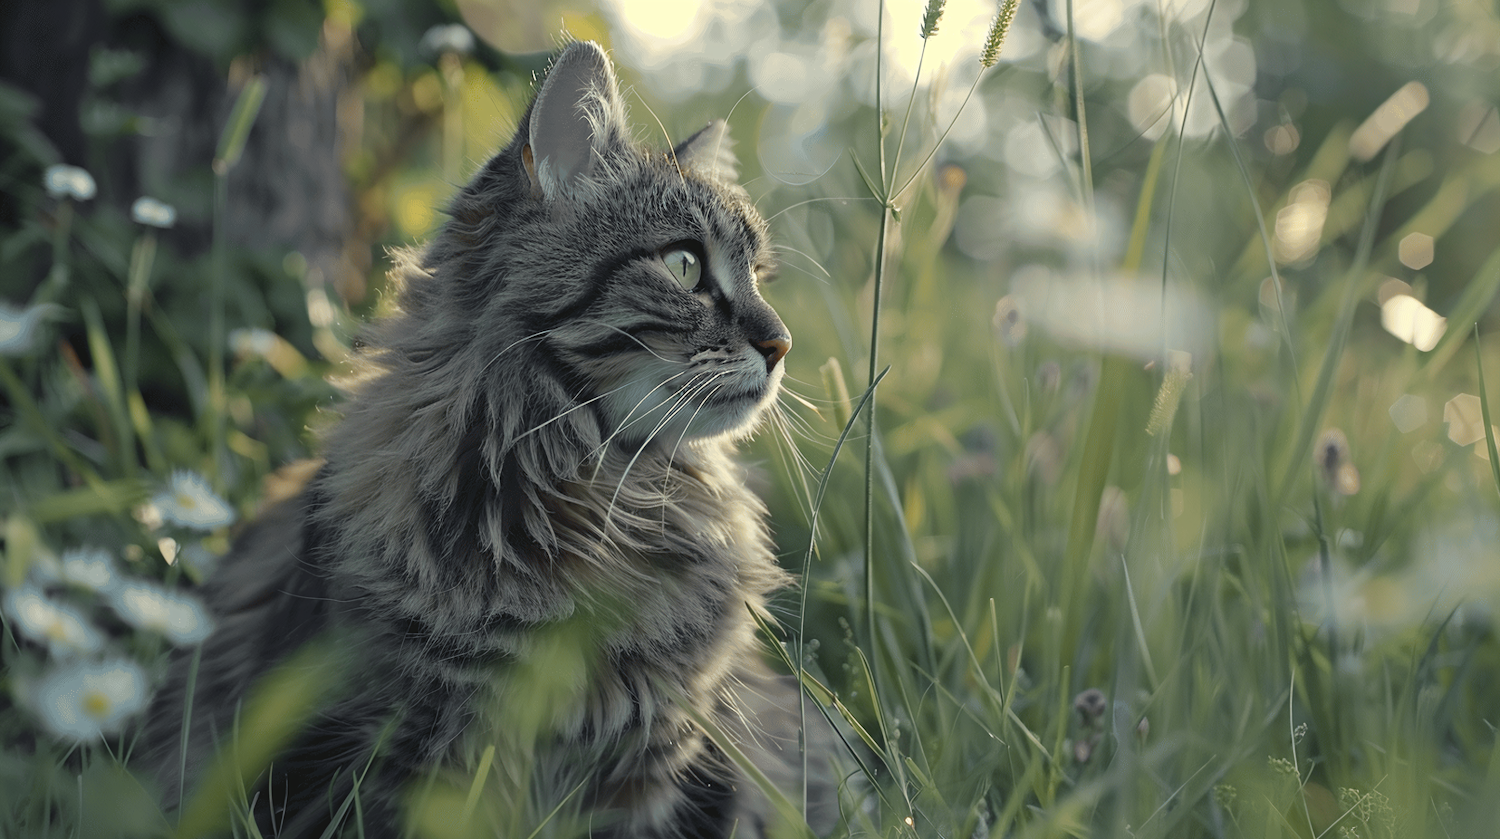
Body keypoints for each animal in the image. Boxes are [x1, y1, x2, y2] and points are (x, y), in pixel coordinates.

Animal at [141, 39, 840, 839]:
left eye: (760, 278)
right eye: (684, 265)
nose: (781, 344)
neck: (596, 495)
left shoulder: (652, 769)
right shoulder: (396, 755)